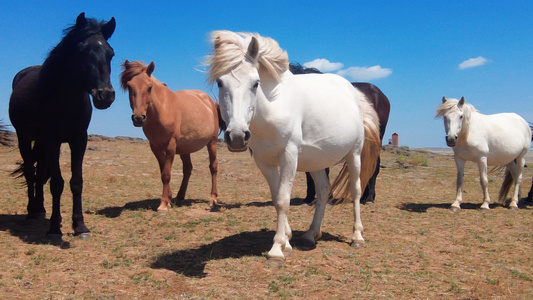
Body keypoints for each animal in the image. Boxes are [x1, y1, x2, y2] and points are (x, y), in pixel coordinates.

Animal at [8, 12, 117, 241]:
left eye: (110, 53)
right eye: (82, 50)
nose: (105, 95)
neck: (65, 101)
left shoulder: (79, 140)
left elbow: (76, 182)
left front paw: (80, 226)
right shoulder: (53, 141)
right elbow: (57, 183)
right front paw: (54, 229)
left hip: (40, 143)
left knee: (40, 172)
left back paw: (40, 209)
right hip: (25, 137)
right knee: (31, 172)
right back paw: (31, 213)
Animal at [119, 59, 223, 212]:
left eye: (149, 87)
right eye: (129, 86)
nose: (138, 118)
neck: (162, 110)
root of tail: (209, 101)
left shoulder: (170, 145)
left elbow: (167, 174)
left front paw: (163, 204)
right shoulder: (155, 147)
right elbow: (163, 172)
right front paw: (168, 199)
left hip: (212, 143)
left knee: (213, 167)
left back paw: (213, 198)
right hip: (186, 148)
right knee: (188, 169)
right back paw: (180, 196)